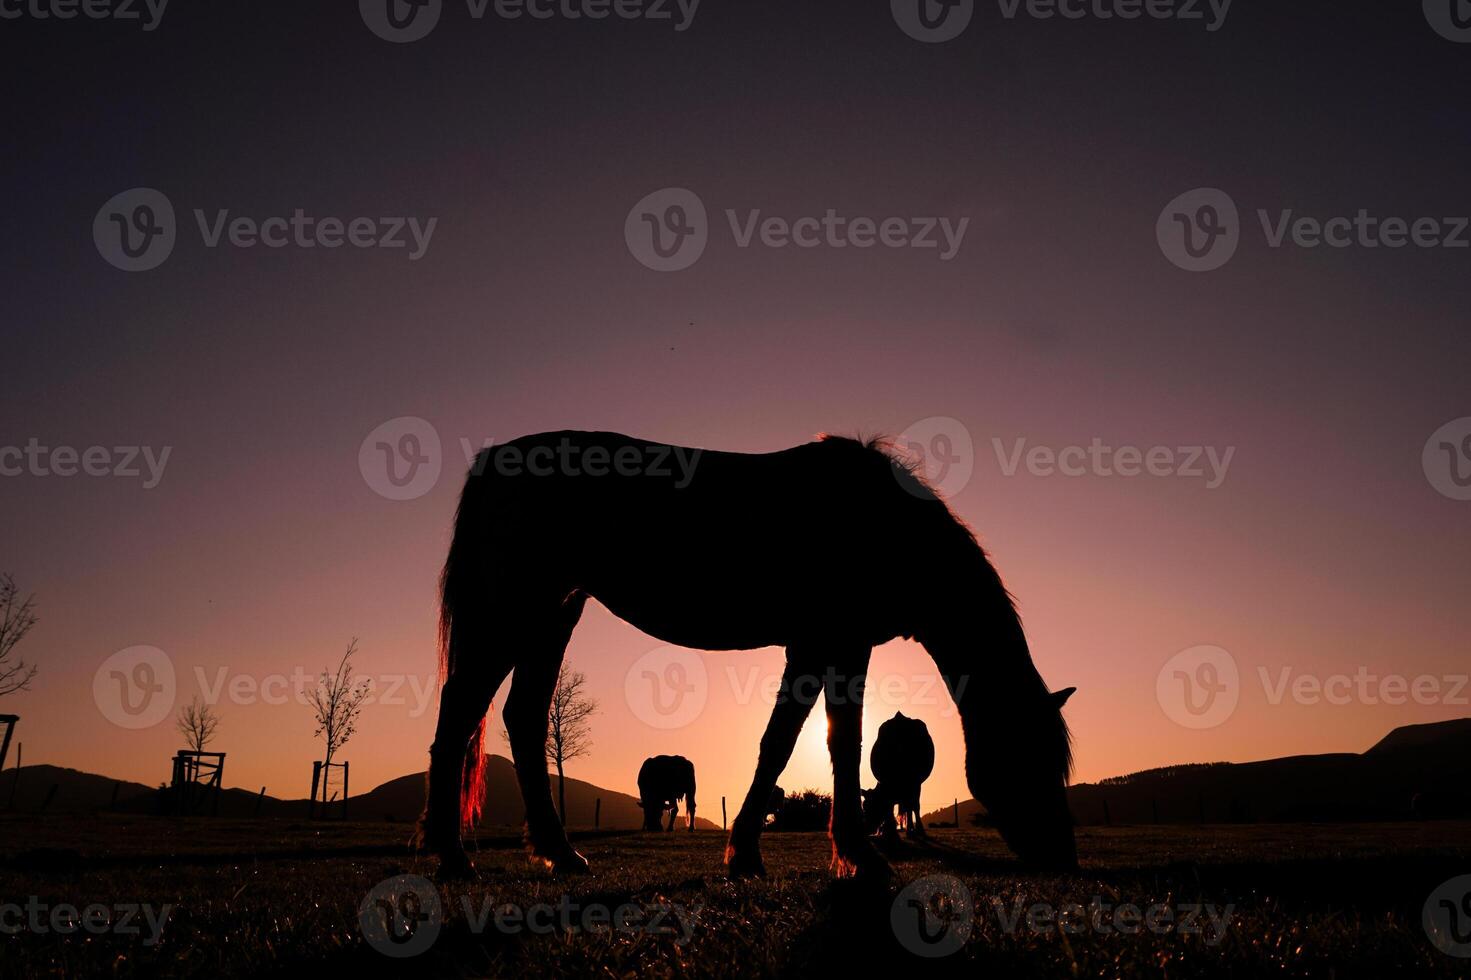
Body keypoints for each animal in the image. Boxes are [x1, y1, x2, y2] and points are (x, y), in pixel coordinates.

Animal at [859, 709, 935, 841]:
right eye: (864, 806)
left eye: (874, 805)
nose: (866, 830)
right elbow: (891, 807)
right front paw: (890, 831)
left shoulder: (915, 783)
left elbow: (914, 806)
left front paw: (917, 830)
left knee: (911, 806)